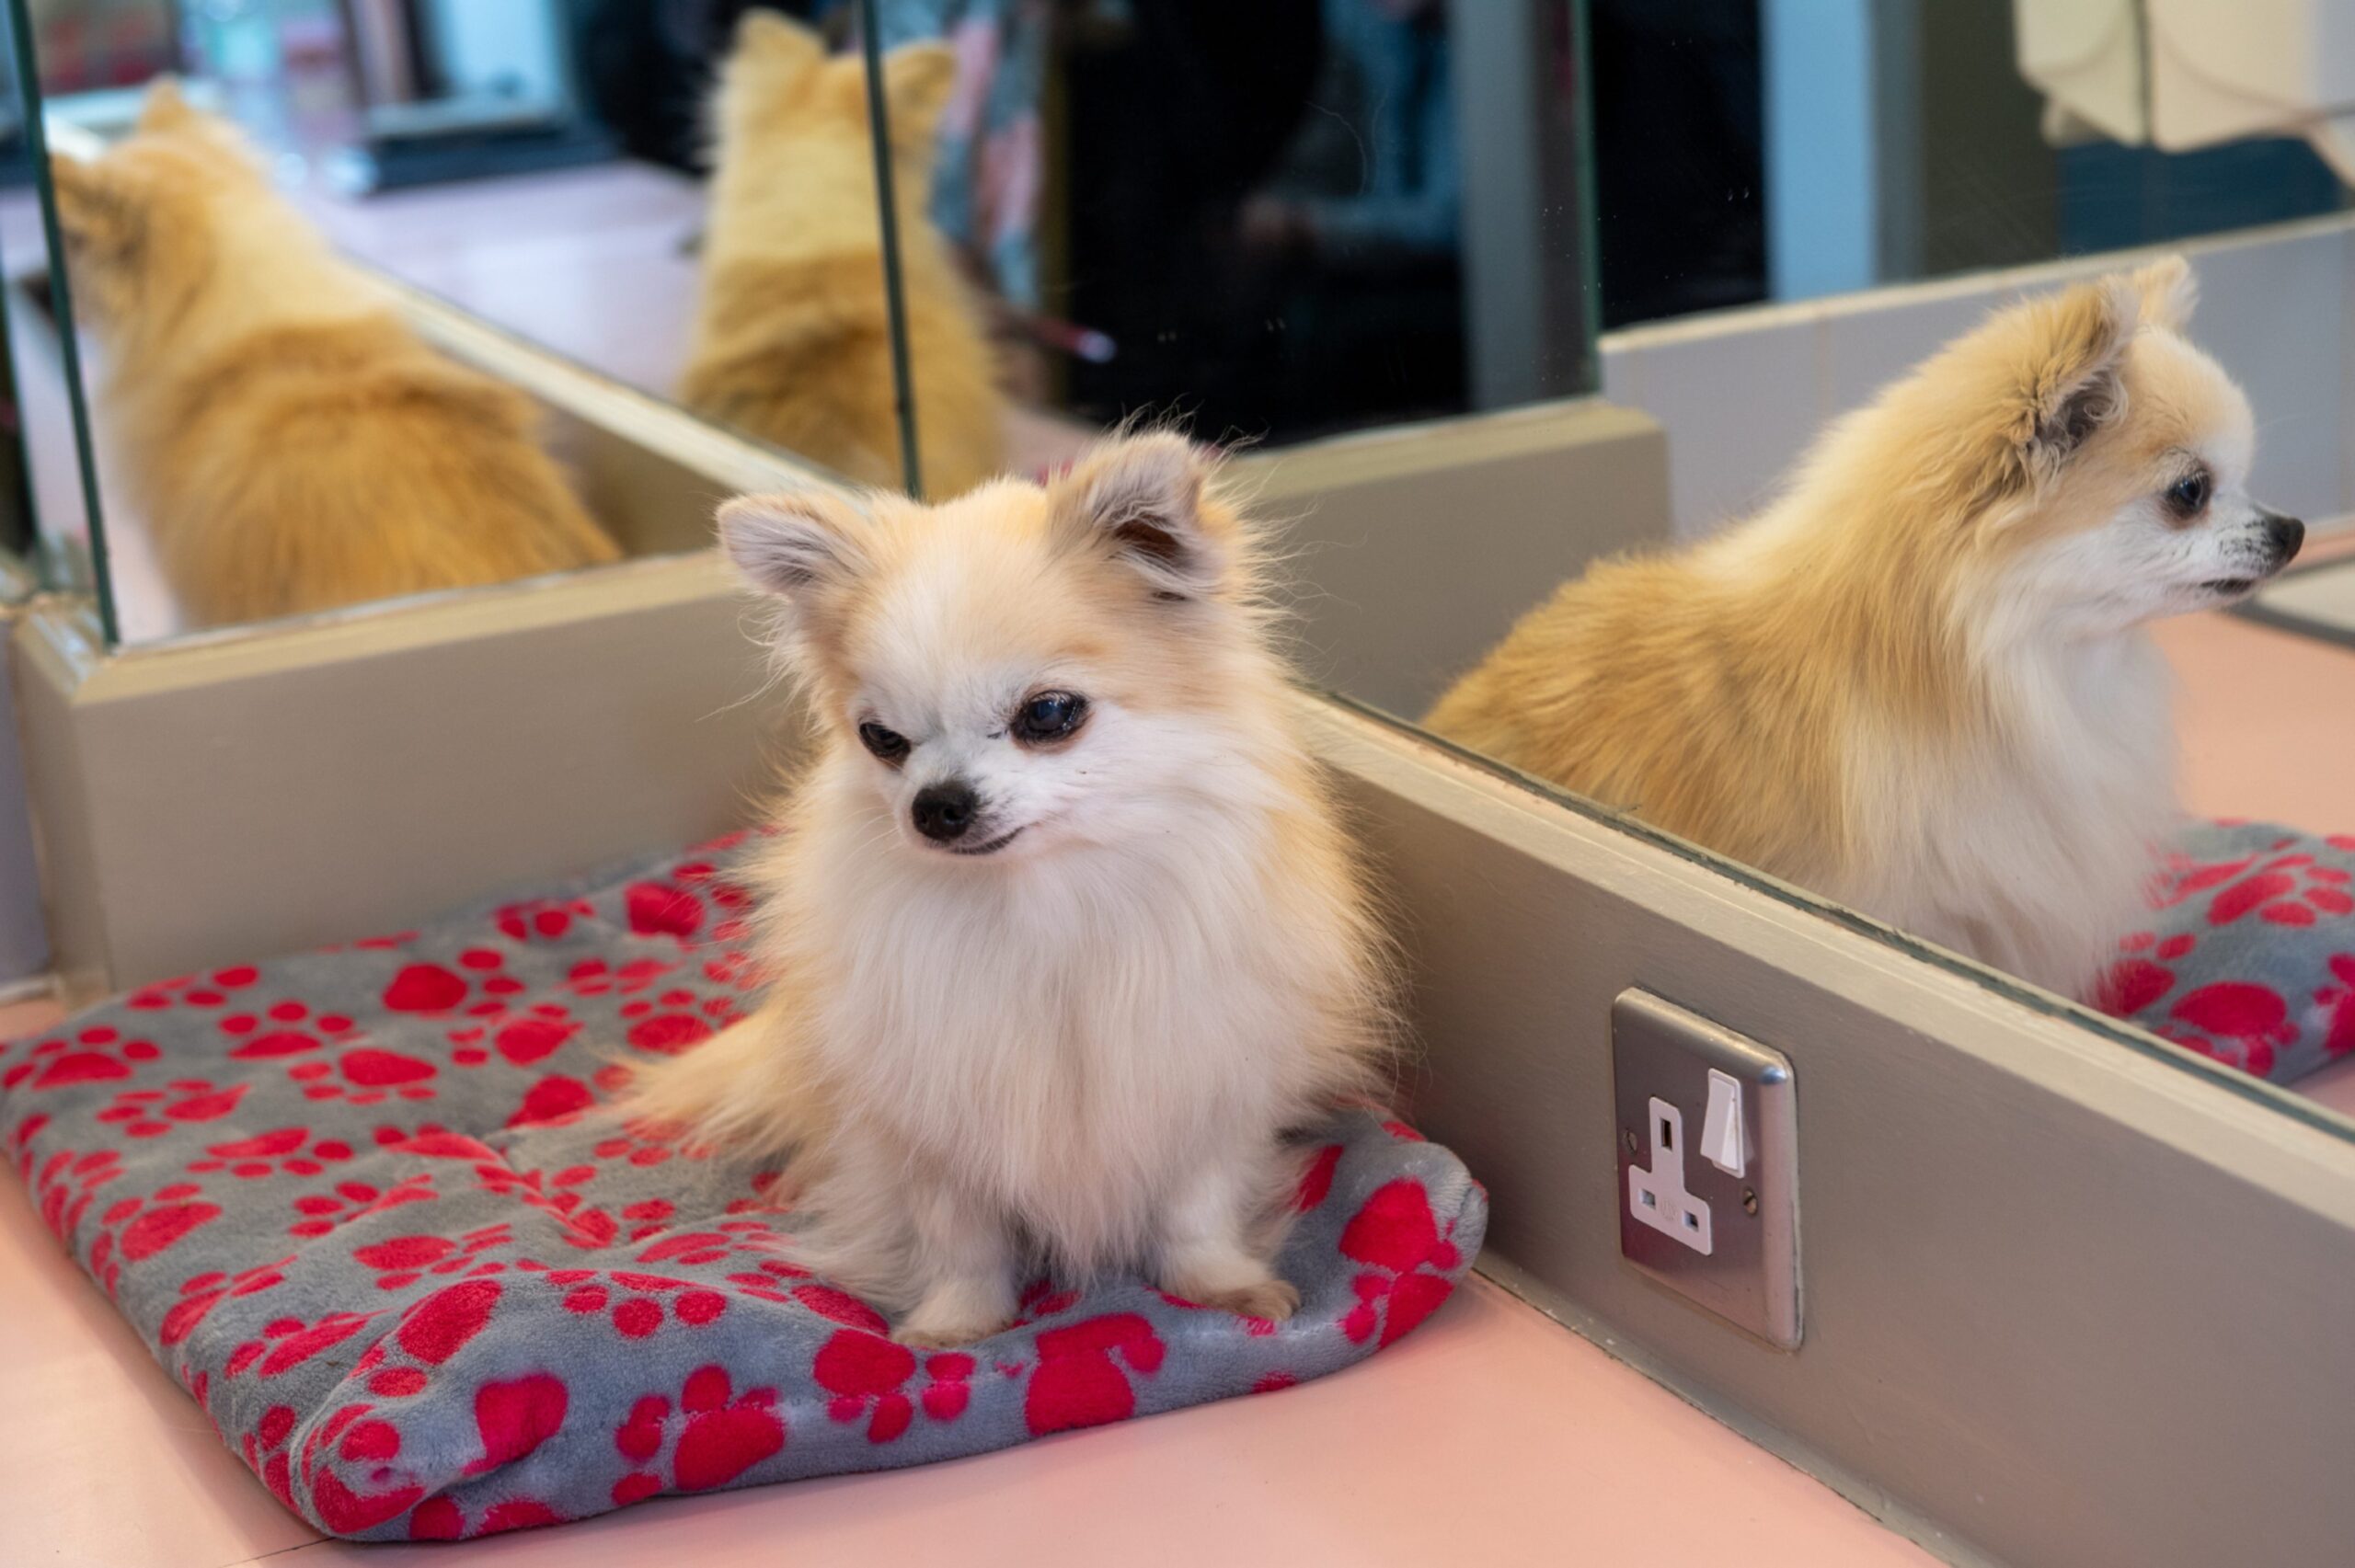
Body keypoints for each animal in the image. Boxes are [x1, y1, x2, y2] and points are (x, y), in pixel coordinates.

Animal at [626, 430, 1394, 1346]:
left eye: (1050, 713)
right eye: (881, 738)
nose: (936, 803)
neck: (1039, 907)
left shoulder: (1201, 1085)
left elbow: (1195, 1208)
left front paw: (1221, 1285)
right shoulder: (931, 1122)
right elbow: (962, 1237)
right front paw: (955, 1326)